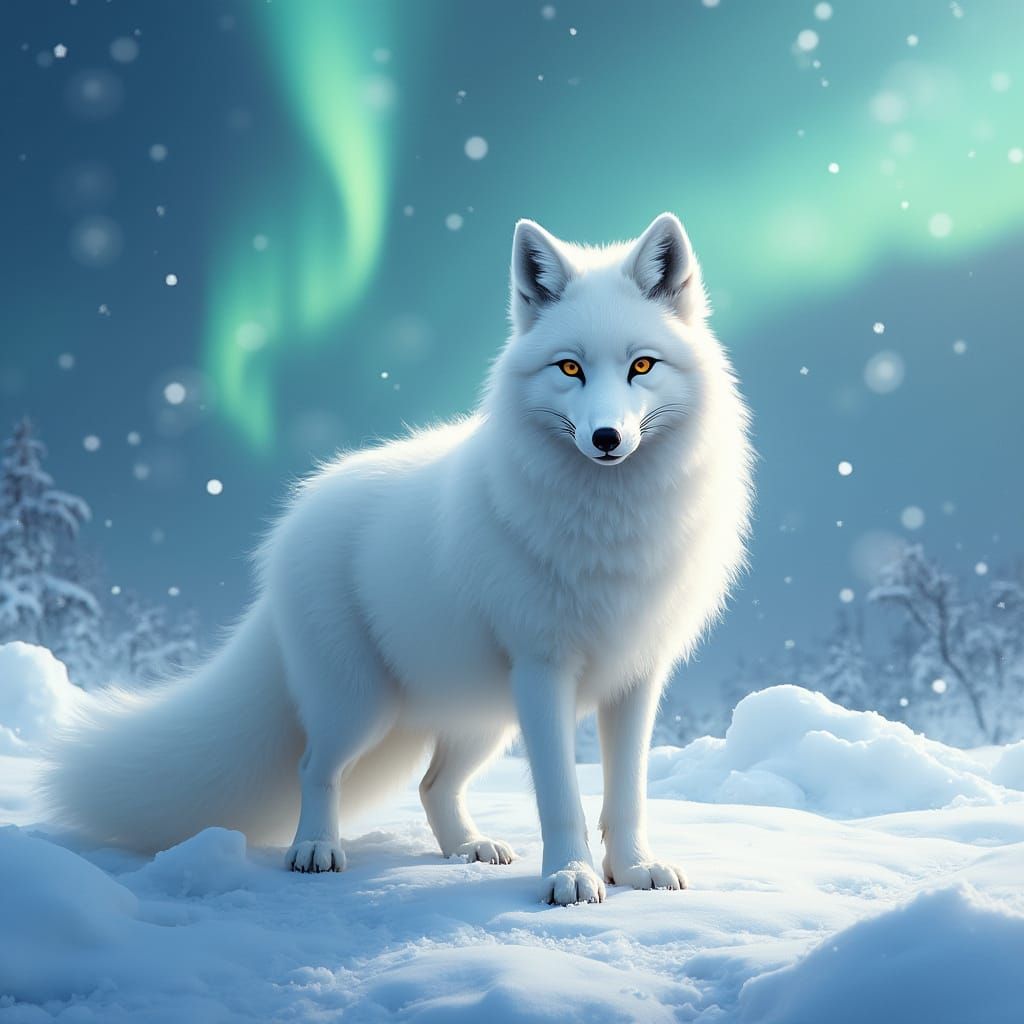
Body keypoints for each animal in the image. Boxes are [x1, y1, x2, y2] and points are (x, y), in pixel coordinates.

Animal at [42, 213, 753, 905]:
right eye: (570, 369)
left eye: (643, 366)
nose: (606, 437)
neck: (612, 526)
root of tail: (297, 514)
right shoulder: (543, 667)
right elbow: (560, 798)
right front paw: (571, 877)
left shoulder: (637, 675)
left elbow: (628, 794)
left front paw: (633, 869)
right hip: (360, 706)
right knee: (313, 767)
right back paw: (315, 850)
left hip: (481, 714)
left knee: (432, 784)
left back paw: (467, 848)